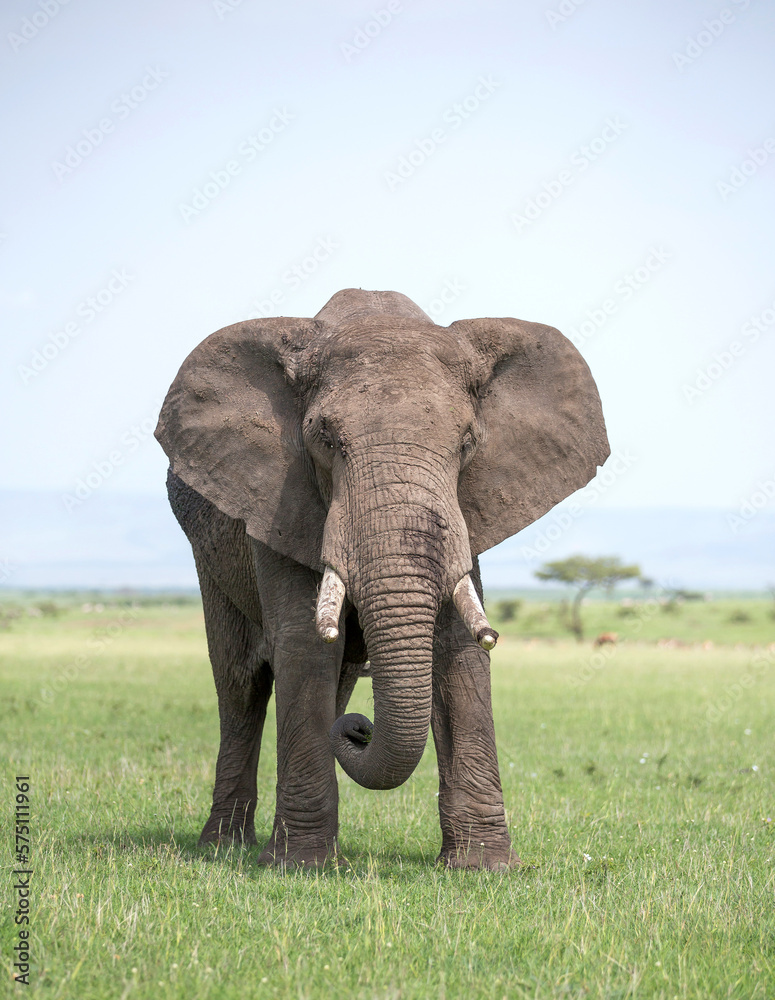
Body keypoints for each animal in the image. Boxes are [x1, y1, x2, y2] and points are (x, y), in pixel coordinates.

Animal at [154, 288, 609, 869]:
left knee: (336, 677)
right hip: (207, 552)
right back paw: (225, 846)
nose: (359, 729)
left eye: (467, 442)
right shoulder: (279, 497)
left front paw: (481, 867)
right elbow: (303, 645)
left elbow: (456, 646)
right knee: (240, 683)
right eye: (324, 439)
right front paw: (302, 867)